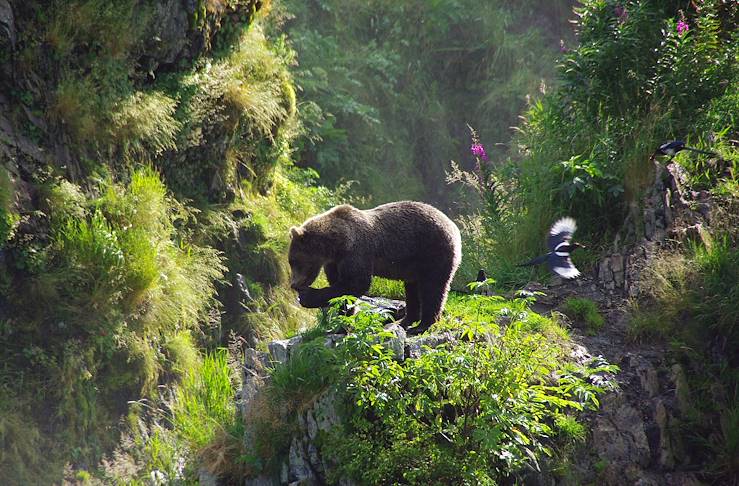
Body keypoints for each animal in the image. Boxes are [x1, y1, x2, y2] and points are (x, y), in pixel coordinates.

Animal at [290, 201, 462, 334]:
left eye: (293, 261)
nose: (294, 284)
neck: (336, 245)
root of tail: (454, 227)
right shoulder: (335, 262)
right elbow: (342, 290)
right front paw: (341, 324)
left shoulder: (357, 252)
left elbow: (355, 283)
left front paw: (307, 296)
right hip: (414, 264)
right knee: (413, 289)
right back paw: (403, 321)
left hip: (433, 251)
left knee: (432, 288)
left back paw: (421, 325)